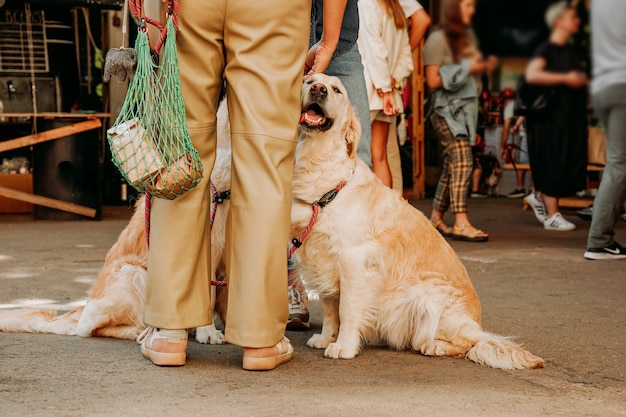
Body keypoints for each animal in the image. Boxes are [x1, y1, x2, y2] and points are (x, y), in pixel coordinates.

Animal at [0, 100, 230, 342]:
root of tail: (83, 309)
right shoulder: (208, 243)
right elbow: (208, 294)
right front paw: (208, 332)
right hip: (134, 273)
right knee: (95, 327)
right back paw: (142, 331)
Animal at [292, 73, 540, 368]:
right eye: (309, 80)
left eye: (336, 90)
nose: (318, 90)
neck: (321, 168)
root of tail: (477, 325)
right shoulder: (323, 259)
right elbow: (331, 309)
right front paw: (326, 338)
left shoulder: (353, 261)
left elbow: (348, 309)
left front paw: (344, 346)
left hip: (429, 294)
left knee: (468, 343)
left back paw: (434, 346)